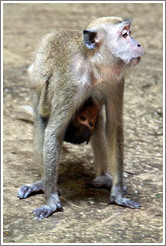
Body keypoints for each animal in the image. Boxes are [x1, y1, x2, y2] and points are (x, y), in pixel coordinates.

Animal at [17, 16, 143, 219]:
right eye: (125, 34)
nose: (138, 44)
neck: (93, 66)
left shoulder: (115, 80)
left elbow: (113, 128)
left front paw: (118, 193)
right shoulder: (71, 84)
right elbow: (54, 133)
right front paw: (51, 201)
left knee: (99, 126)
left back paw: (102, 177)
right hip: (37, 91)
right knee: (42, 122)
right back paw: (43, 182)